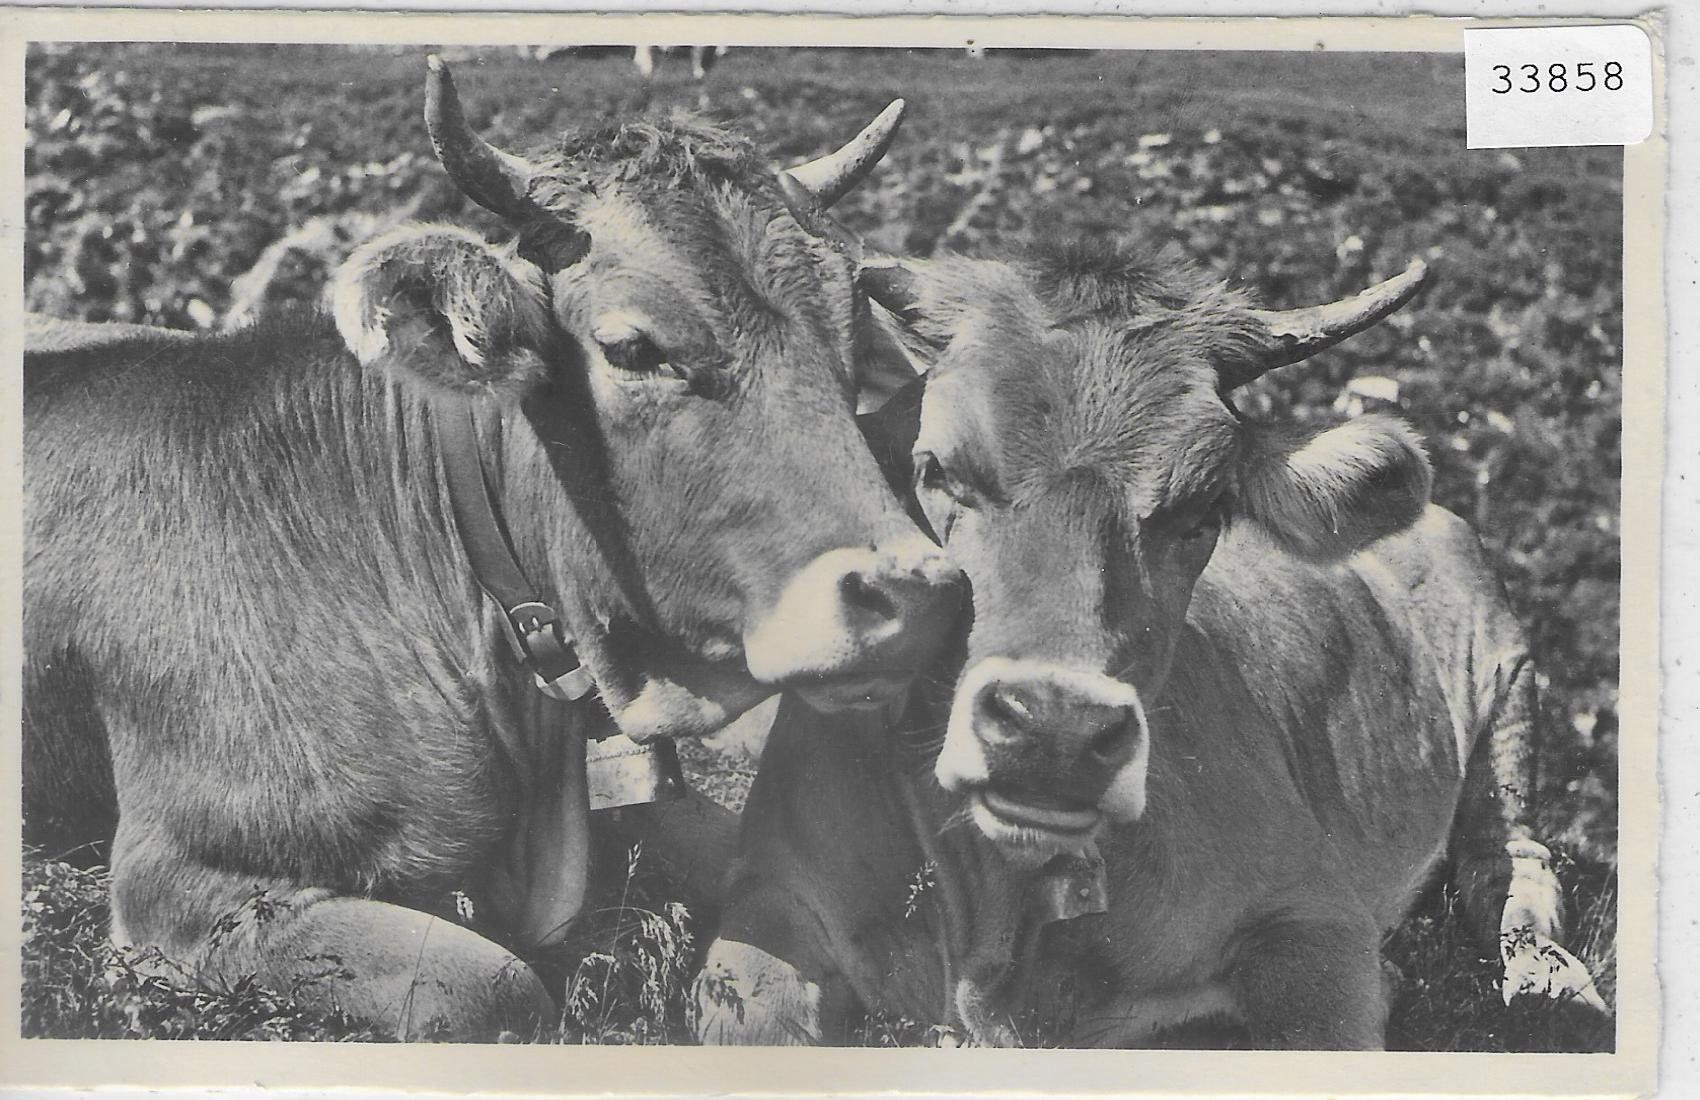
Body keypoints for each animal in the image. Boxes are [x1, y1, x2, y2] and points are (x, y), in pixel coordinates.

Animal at [696, 238, 1605, 1048]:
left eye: (1203, 510)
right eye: (936, 471)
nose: (1054, 730)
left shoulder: (1314, 921)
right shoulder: (771, 905)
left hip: (1511, 693)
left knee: (1511, 864)